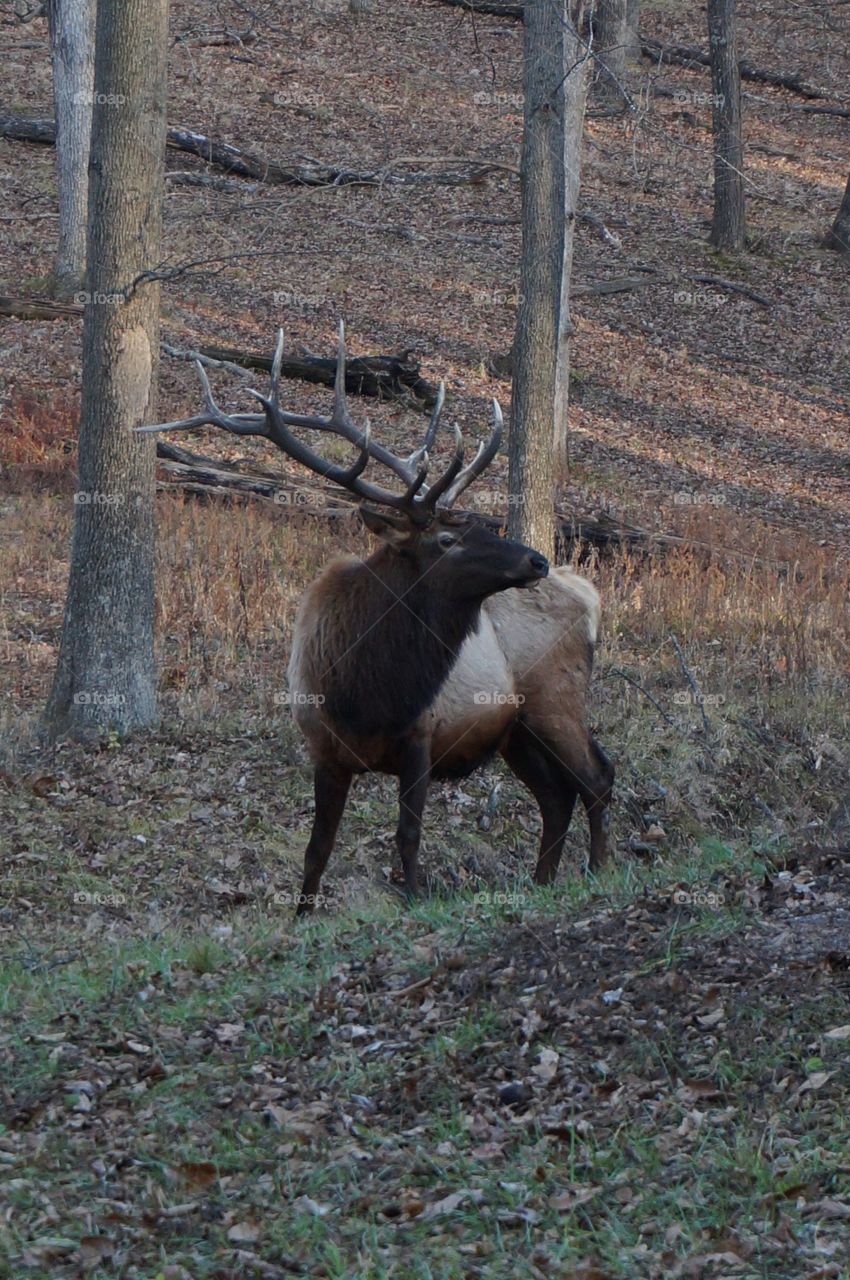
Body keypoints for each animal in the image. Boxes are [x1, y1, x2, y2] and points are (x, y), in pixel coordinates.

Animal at [139, 326, 614, 913]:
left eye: (474, 522)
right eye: (448, 538)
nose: (536, 560)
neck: (363, 691)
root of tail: (589, 595)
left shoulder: (422, 737)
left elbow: (407, 838)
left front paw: (411, 902)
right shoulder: (324, 749)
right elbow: (317, 850)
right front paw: (302, 915)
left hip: (555, 698)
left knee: (597, 777)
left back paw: (598, 870)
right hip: (517, 730)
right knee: (557, 796)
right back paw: (543, 882)